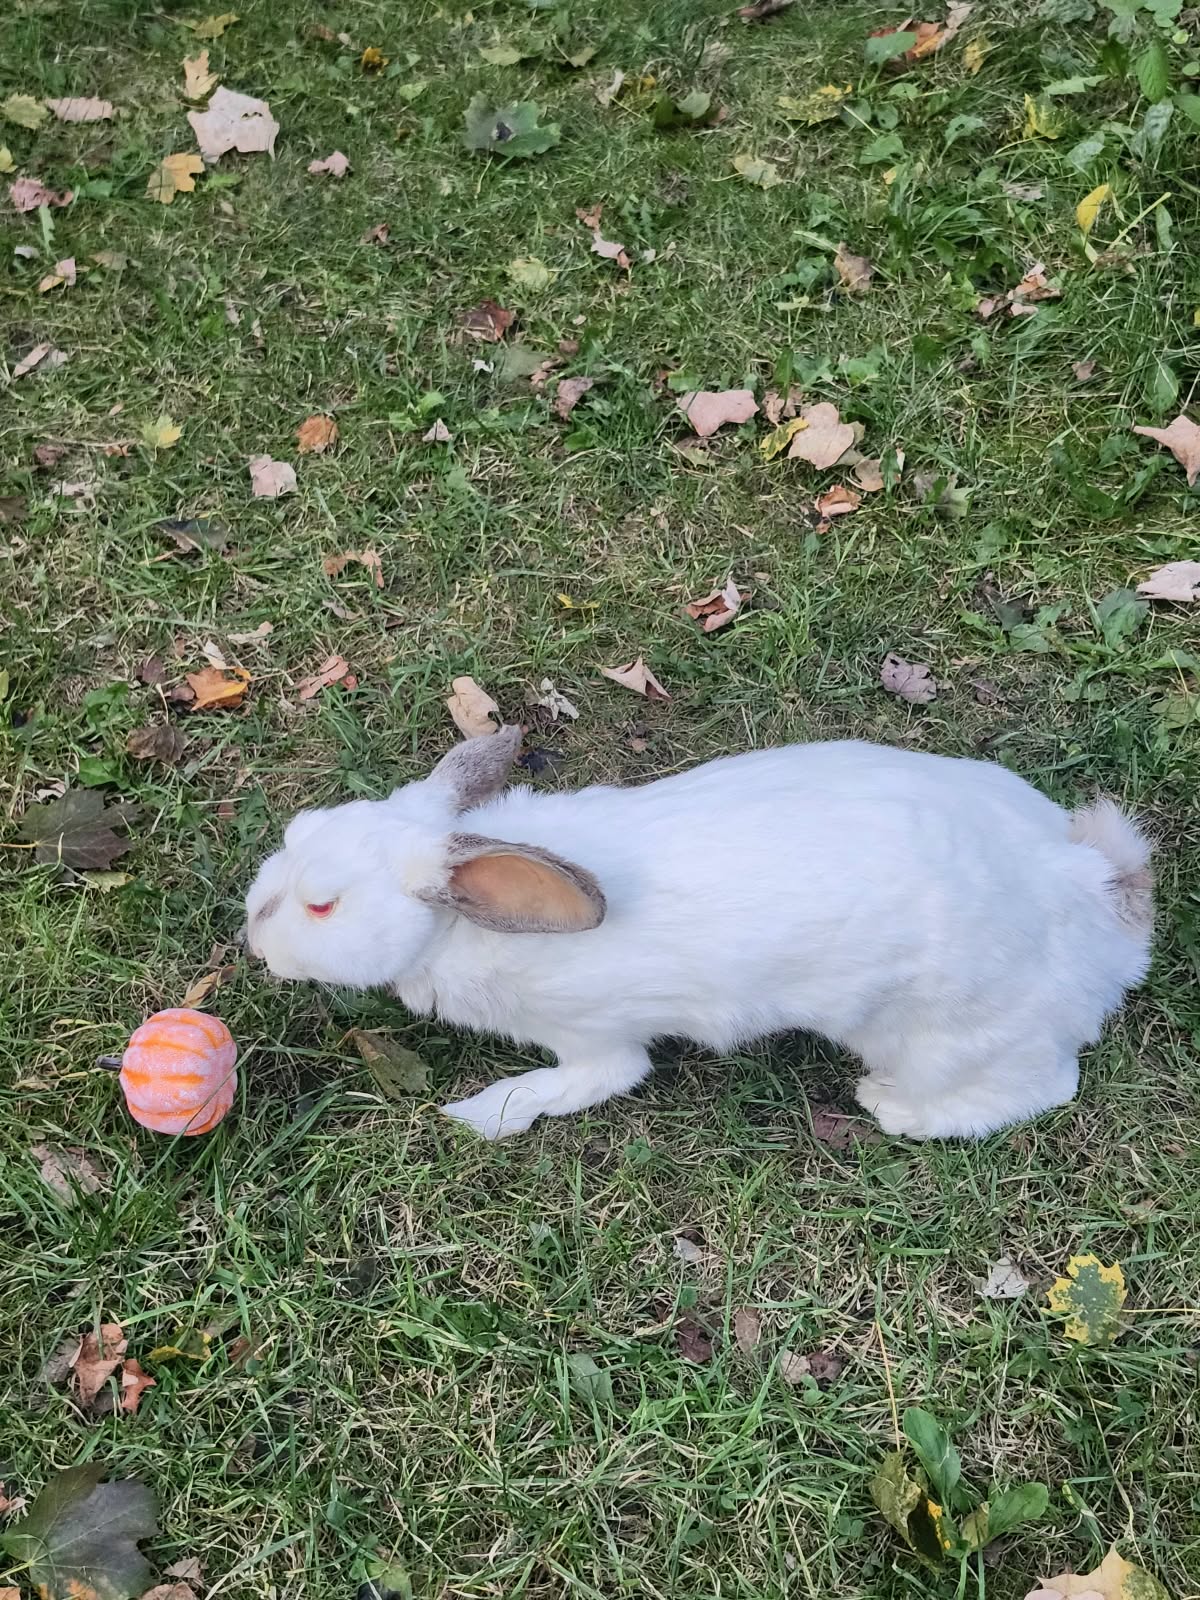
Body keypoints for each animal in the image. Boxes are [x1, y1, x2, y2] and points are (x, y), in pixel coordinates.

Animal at [243, 727, 1152, 1142]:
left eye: (322, 906)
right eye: (297, 831)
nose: (253, 934)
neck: (453, 929)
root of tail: (1100, 901)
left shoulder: (594, 1039)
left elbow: (589, 1083)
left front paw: (482, 1113)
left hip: (947, 1041)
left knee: (1042, 1088)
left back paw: (891, 1107)